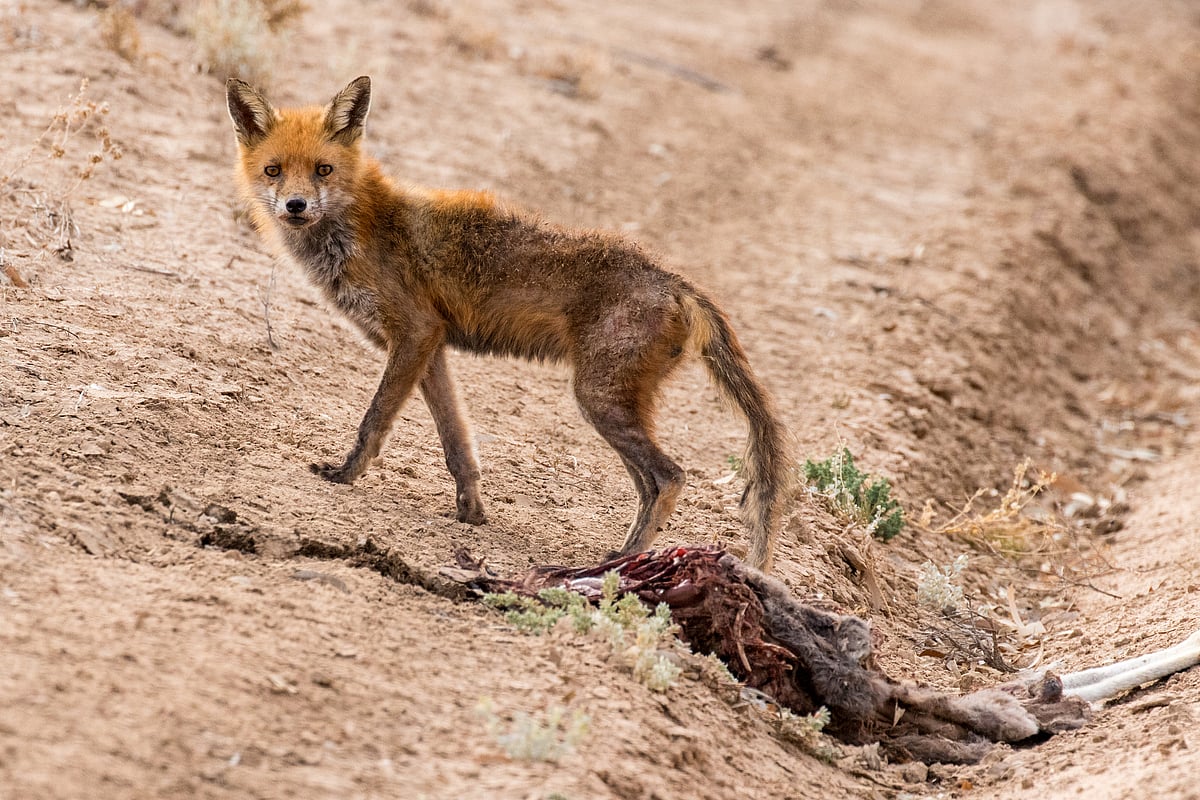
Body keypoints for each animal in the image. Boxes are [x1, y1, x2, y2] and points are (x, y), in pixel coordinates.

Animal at [226, 76, 790, 570]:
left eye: (323, 170)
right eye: (275, 170)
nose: (295, 205)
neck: (358, 228)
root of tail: (676, 281)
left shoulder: (413, 333)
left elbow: (375, 421)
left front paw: (344, 475)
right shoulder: (430, 347)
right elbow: (457, 442)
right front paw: (471, 512)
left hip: (598, 398)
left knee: (669, 477)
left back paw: (620, 562)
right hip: (611, 402)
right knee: (653, 482)